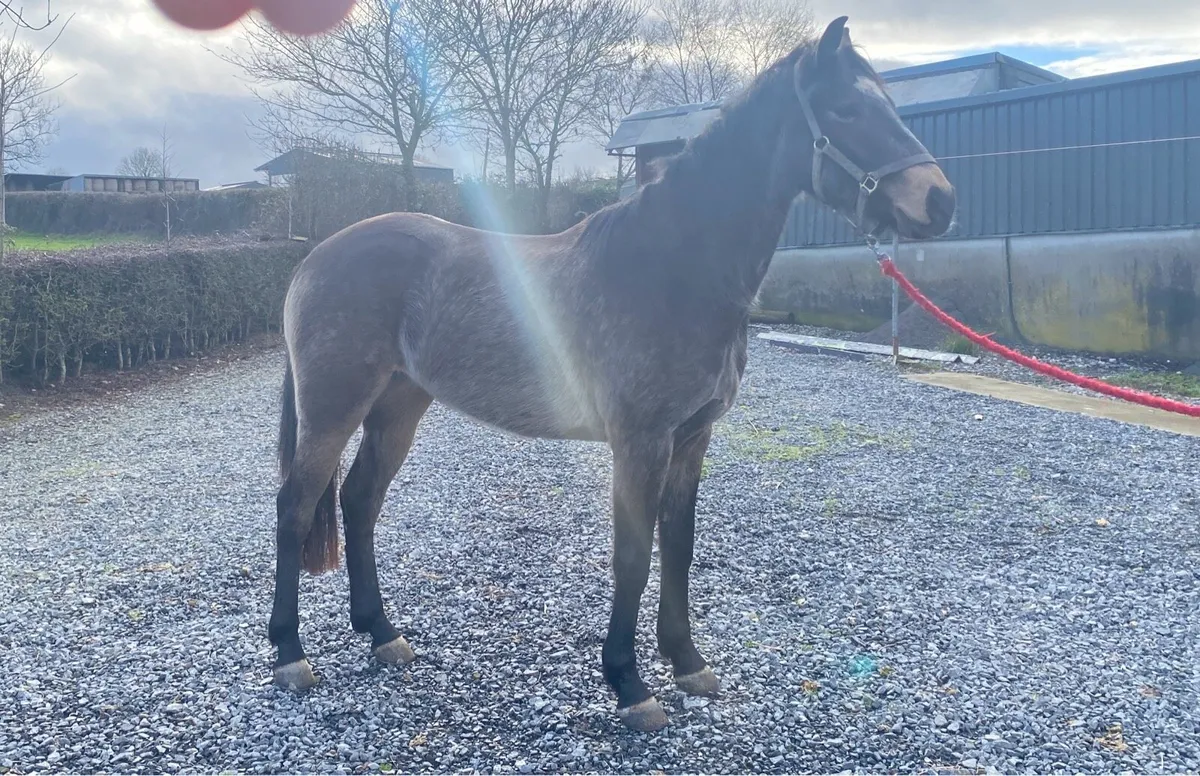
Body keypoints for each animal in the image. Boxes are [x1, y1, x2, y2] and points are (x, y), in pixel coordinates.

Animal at [268, 15, 956, 732]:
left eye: (889, 105)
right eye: (845, 109)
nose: (940, 201)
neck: (673, 267)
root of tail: (314, 258)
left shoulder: (691, 438)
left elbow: (677, 545)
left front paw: (687, 663)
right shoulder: (640, 441)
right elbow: (632, 556)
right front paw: (630, 685)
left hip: (399, 406)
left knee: (358, 501)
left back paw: (382, 634)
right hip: (333, 409)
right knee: (295, 506)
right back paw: (290, 655)